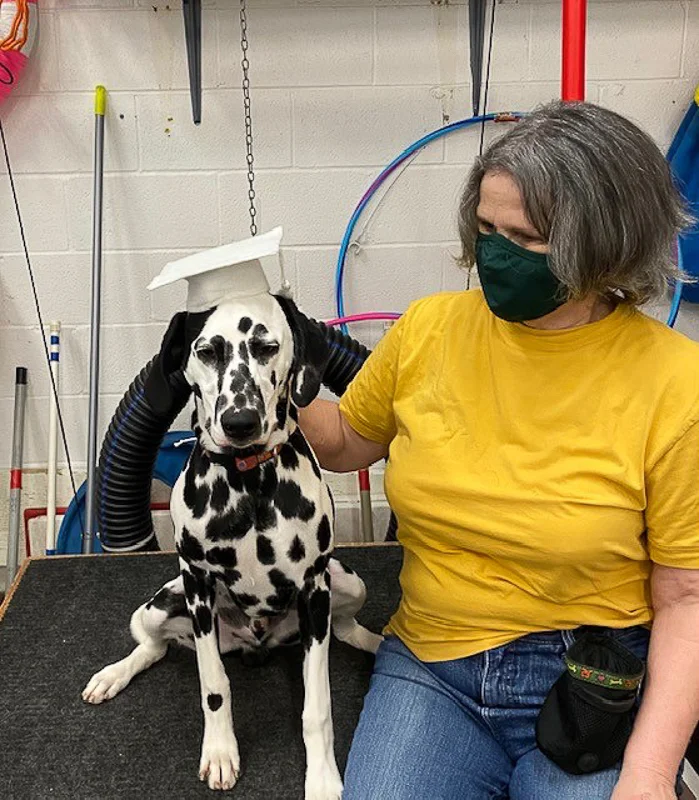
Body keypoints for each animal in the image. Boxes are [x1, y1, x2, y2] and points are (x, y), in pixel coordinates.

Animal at [82, 291, 382, 798]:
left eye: (266, 347)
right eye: (205, 352)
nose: (239, 422)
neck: (249, 482)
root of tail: (255, 641)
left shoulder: (314, 587)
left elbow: (317, 706)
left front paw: (322, 777)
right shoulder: (198, 584)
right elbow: (214, 686)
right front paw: (221, 752)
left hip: (346, 583)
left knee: (343, 628)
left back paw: (380, 642)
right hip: (162, 603)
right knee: (153, 646)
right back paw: (113, 675)